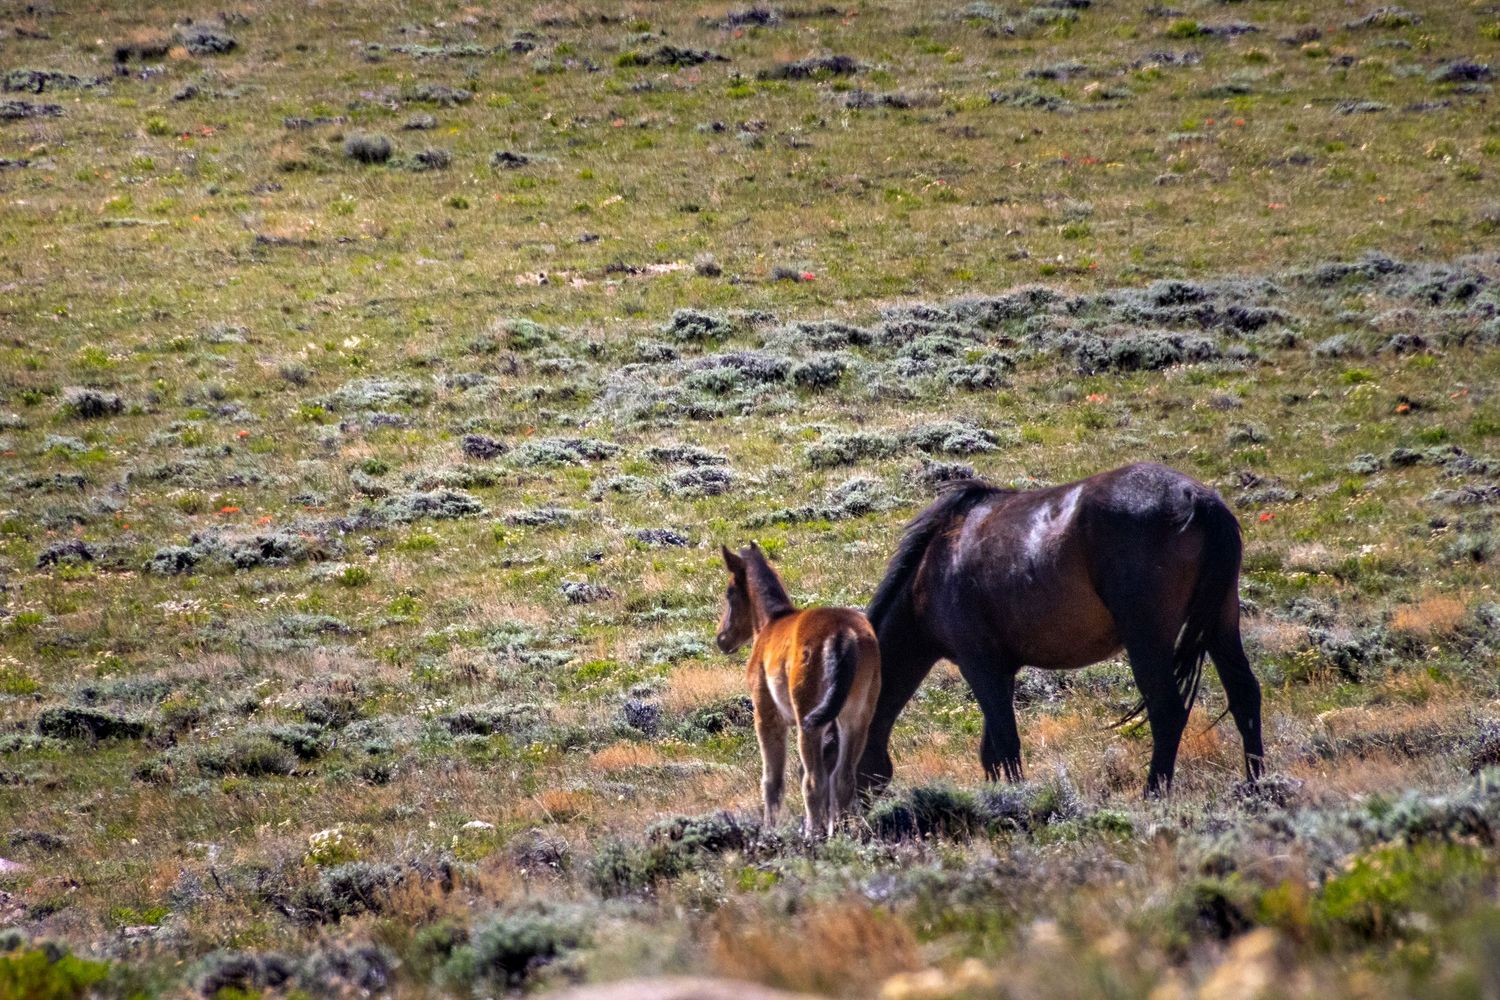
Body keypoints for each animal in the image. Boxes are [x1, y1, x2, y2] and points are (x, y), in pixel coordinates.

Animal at [717, 543, 882, 837]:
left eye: (730, 592)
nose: (721, 638)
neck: (770, 623)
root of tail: (845, 636)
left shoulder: (766, 714)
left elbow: (772, 781)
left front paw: (768, 830)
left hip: (808, 719)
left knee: (813, 781)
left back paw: (812, 834)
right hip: (857, 717)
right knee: (843, 778)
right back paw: (839, 833)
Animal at [853, 462, 1263, 797]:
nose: (843, 822)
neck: (930, 572)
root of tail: (1197, 499)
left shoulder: (979, 665)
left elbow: (1005, 743)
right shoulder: (1001, 670)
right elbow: (992, 750)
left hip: (1147, 638)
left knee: (1167, 711)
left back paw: (1153, 794)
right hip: (1221, 623)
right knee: (1245, 695)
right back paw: (1258, 786)